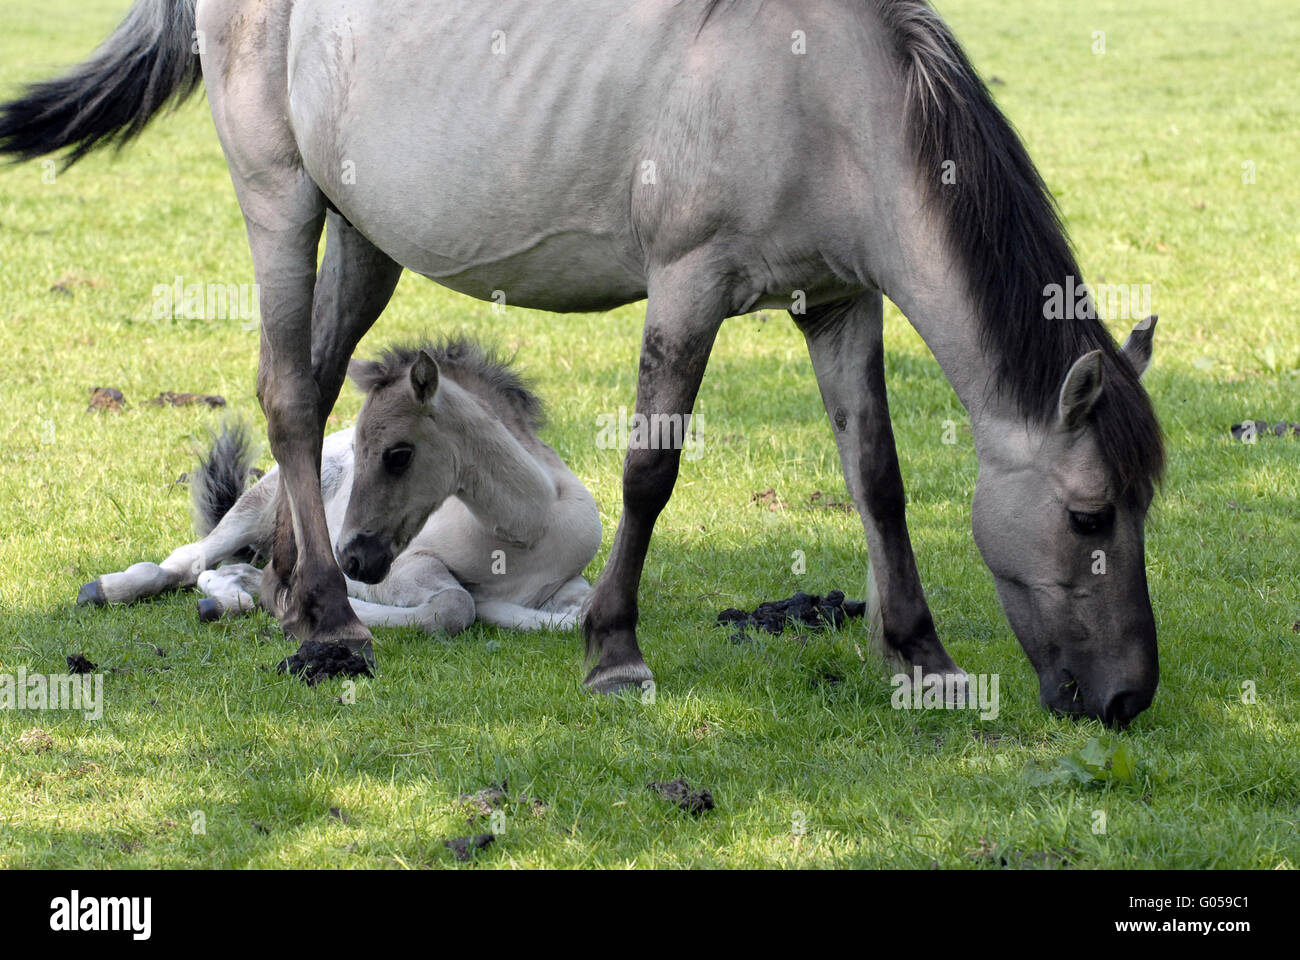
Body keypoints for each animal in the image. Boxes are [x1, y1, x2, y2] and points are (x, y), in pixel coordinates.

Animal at [76, 338, 595, 634]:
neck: (528, 529)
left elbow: (578, 613)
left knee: (227, 568)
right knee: (190, 558)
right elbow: (455, 605)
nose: (353, 558)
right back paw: (107, 589)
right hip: (258, 508)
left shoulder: (562, 583)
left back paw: (230, 596)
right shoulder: (410, 564)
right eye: (363, 449)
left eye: (397, 455)